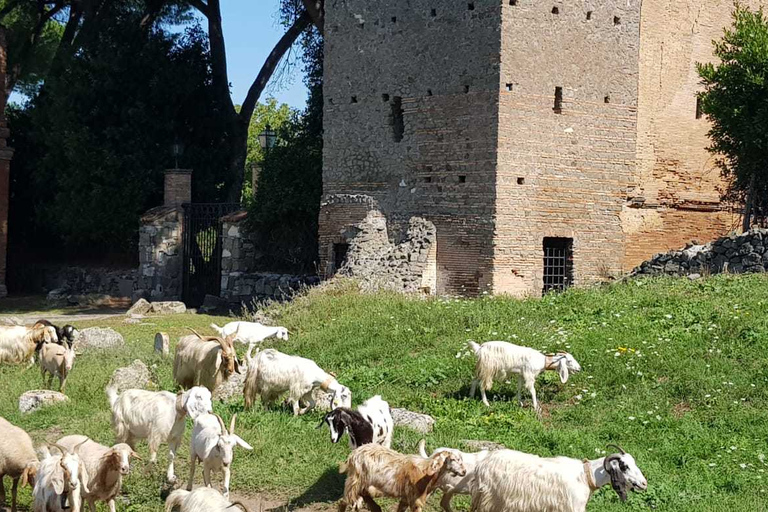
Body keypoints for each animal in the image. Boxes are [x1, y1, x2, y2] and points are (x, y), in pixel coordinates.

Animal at [468, 442, 648, 510]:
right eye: (624, 466)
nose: (644, 483)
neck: (585, 476)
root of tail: (482, 465)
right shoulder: (573, 507)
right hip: (490, 500)